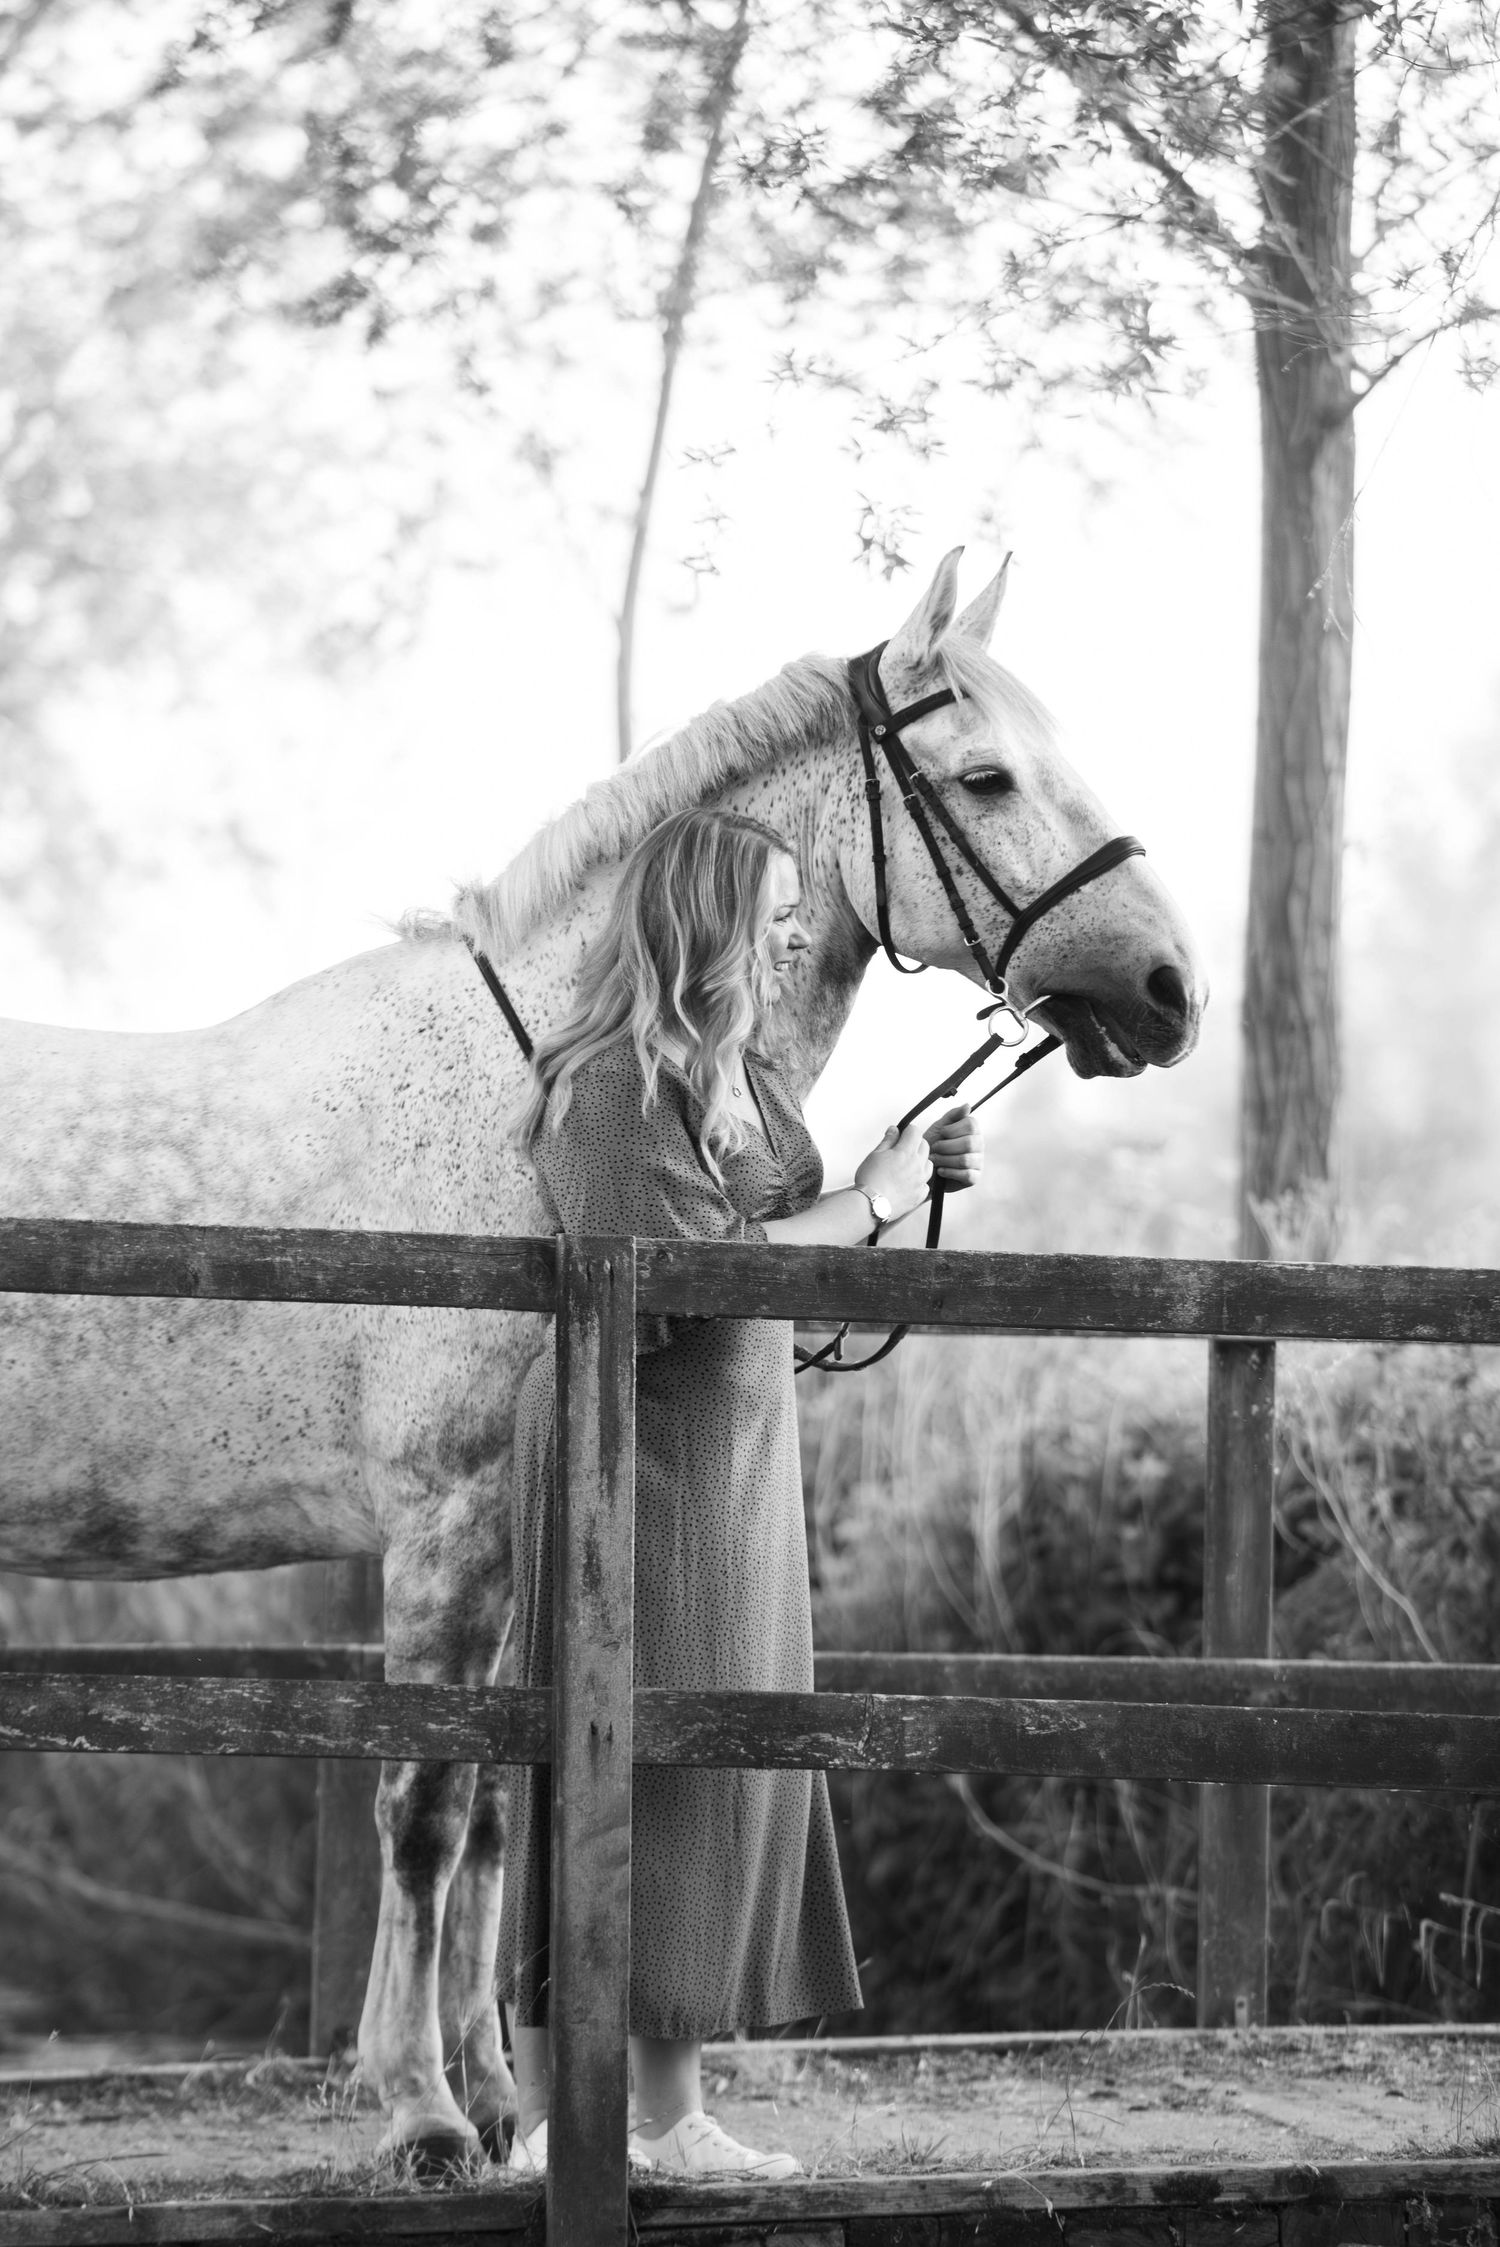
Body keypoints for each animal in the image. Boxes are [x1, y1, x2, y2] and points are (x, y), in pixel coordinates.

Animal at [0, 549, 1203, 2163]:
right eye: (988, 775)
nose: (1170, 989)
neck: (531, 1083)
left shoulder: (523, 1538)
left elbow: (507, 1805)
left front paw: (499, 2094)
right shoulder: (443, 1524)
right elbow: (425, 1803)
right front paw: (421, 2112)